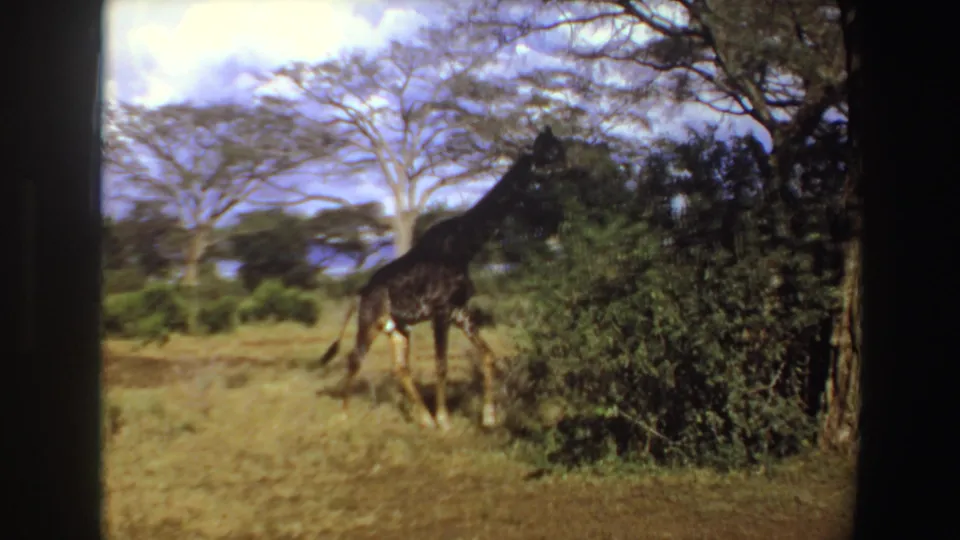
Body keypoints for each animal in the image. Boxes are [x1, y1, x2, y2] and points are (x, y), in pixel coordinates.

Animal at [316, 127, 567, 430]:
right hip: (371, 321)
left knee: (399, 367)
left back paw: (424, 419)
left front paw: (489, 416)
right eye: (549, 154)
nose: (570, 171)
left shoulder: (460, 310)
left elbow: (488, 356)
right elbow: (441, 364)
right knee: (355, 357)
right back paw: (344, 415)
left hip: (398, 327)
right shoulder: (440, 310)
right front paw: (446, 421)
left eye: (560, 150)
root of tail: (360, 293)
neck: (464, 246)